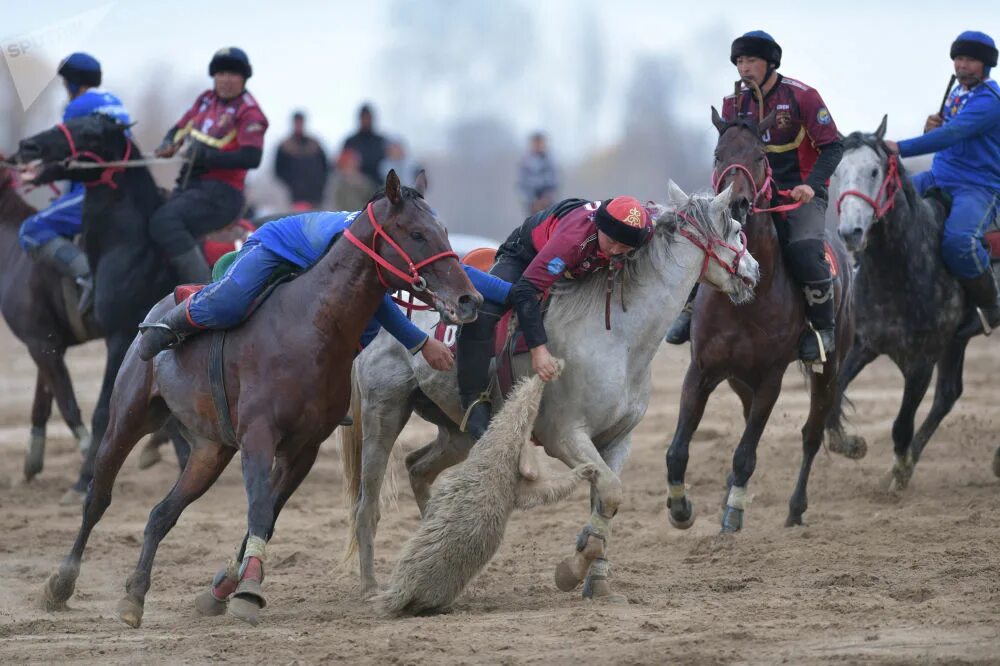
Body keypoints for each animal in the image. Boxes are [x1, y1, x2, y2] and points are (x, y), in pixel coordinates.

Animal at [45, 169, 482, 624]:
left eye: (443, 231)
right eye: (417, 233)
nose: (469, 299)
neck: (311, 324)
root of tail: (160, 306)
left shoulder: (303, 449)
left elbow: (267, 515)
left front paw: (225, 586)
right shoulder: (258, 436)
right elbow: (257, 510)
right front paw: (248, 589)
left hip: (210, 450)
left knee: (162, 514)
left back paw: (134, 595)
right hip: (128, 416)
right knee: (99, 496)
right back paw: (62, 582)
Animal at [342, 184, 756, 600]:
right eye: (738, 229)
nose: (754, 271)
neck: (617, 337)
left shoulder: (617, 440)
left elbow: (606, 499)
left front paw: (597, 579)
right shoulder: (566, 437)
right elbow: (610, 490)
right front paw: (573, 569)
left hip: (454, 432)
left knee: (417, 467)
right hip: (384, 415)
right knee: (367, 504)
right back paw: (369, 586)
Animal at [664, 110, 860, 536]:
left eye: (759, 155)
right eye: (718, 154)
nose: (737, 202)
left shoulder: (771, 378)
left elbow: (746, 453)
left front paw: (734, 513)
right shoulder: (702, 370)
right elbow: (678, 450)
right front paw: (681, 507)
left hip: (830, 367)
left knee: (811, 434)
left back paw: (795, 508)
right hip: (739, 379)